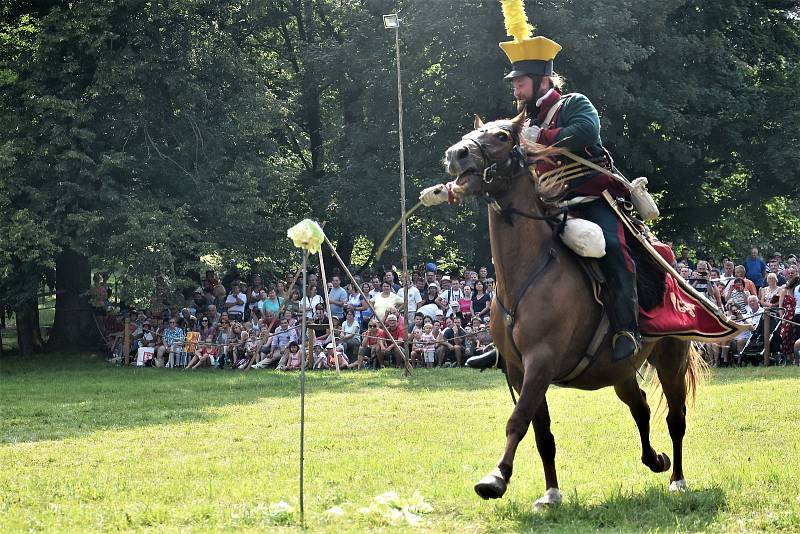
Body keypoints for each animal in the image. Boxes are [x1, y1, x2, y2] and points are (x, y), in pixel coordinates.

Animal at [444, 111, 708, 512]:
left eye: (502, 136)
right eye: (472, 134)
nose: (456, 155)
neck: (529, 270)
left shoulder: (541, 362)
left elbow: (518, 420)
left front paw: (495, 478)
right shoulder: (520, 371)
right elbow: (541, 432)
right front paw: (551, 493)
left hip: (670, 357)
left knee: (675, 417)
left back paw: (677, 479)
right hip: (620, 371)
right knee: (641, 408)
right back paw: (655, 460)